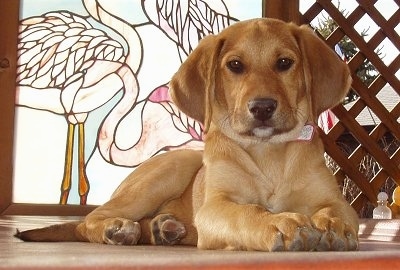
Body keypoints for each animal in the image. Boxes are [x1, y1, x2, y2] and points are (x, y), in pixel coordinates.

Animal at [15, 18, 360, 251]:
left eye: (285, 63)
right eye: (235, 65)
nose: (262, 107)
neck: (268, 153)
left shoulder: (335, 200)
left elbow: (335, 212)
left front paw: (333, 226)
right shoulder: (216, 206)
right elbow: (246, 212)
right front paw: (277, 221)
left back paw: (164, 229)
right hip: (169, 170)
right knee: (88, 221)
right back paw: (120, 229)